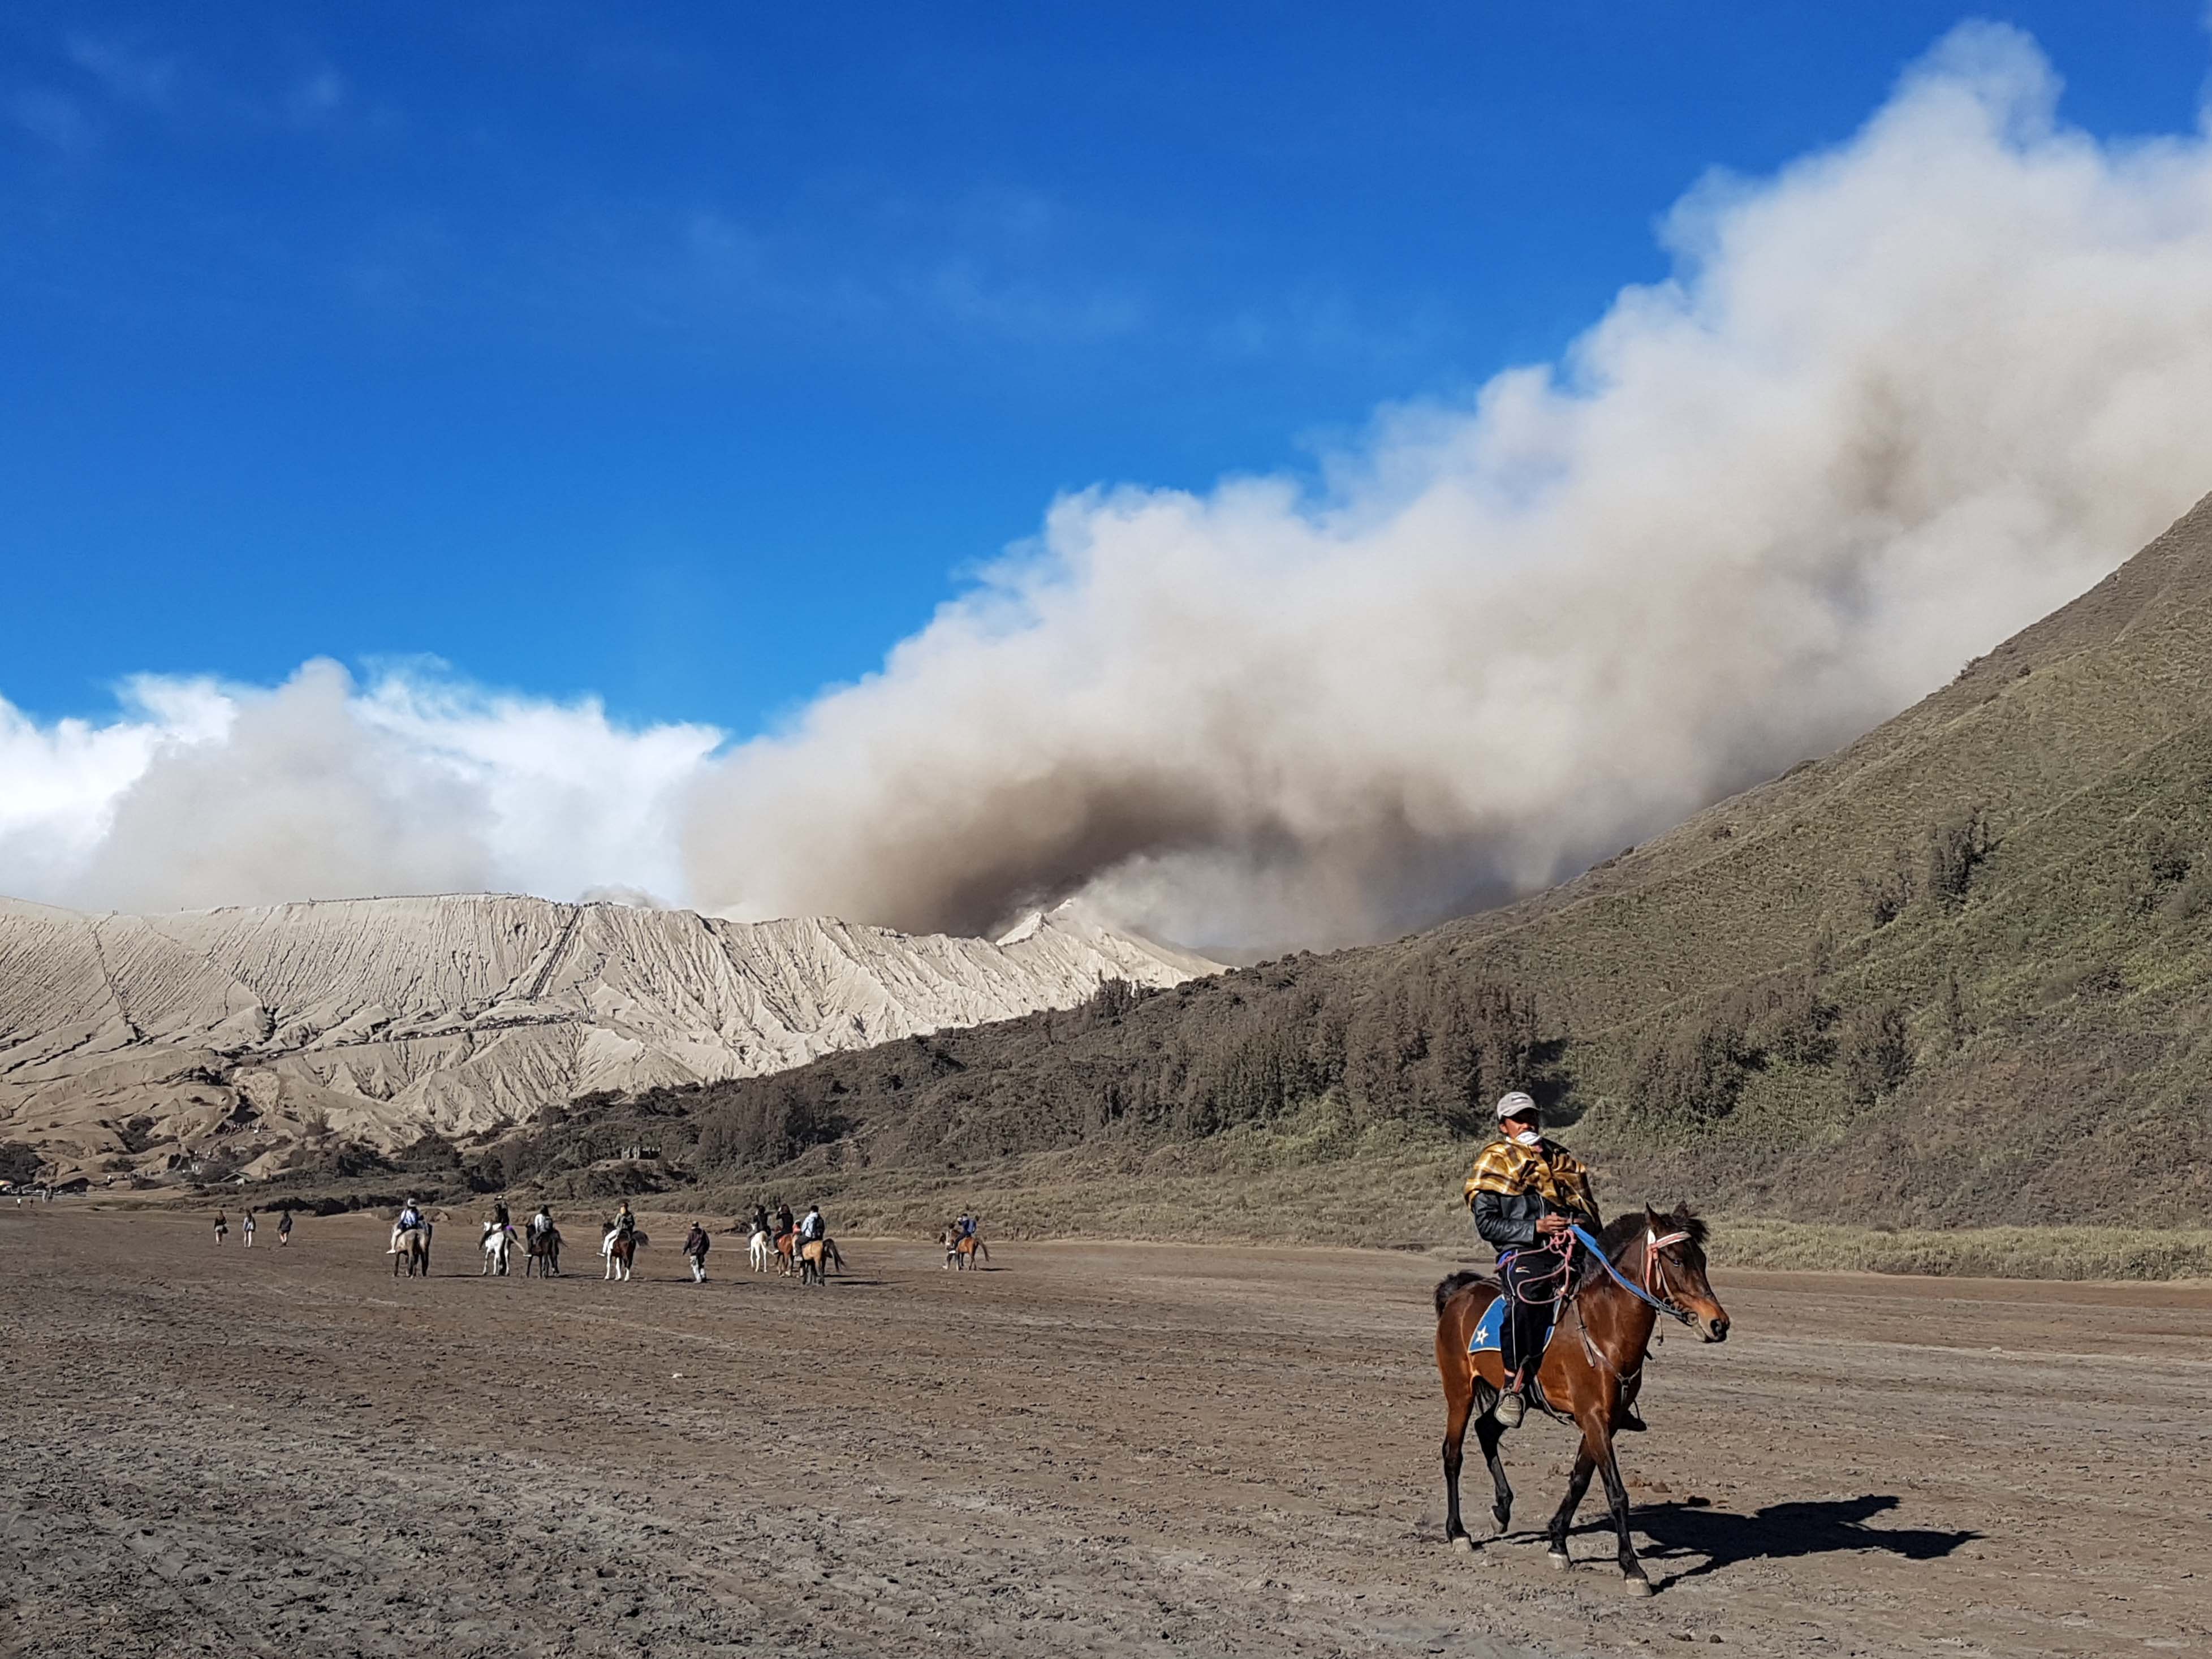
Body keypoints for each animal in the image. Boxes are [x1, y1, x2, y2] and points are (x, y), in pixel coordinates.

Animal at [1433, 1212, 1725, 1601]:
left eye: (1702, 1260)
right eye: (1677, 1260)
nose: (1718, 1323)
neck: (1605, 1325)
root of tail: (1459, 1293)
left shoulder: (1605, 1420)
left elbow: (1580, 1480)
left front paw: (1558, 1542)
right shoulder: (1593, 1417)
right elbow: (1616, 1493)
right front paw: (1633, 1569)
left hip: (1513, 1396)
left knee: (1486, 1430)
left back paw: (1502, 1508)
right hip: (1459, 1392)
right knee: (1453, 1454)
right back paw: (1458, 1533)